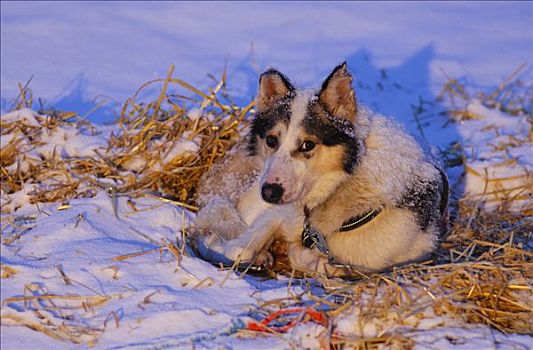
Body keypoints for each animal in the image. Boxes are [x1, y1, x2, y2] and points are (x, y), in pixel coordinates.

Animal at [193, 63, 446, 276]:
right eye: (272, 140)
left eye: (307, 144)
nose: (269, 193)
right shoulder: (277, 214)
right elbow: (241, 248)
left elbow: (319, 262)